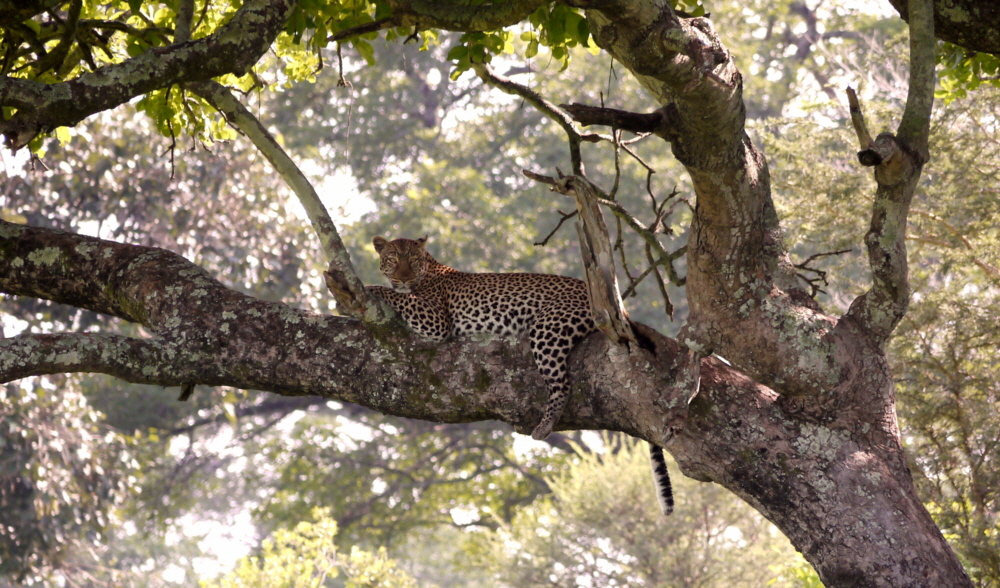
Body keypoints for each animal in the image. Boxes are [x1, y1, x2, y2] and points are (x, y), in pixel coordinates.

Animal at [368, 235, 674, 515]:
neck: (428, 269)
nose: (403, 278)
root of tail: (619, 307)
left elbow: (401, 297)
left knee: (561, 385)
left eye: (412, 260)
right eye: (393, 259)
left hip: (547, 327)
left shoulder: (436, 320)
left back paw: (544, 426)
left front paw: (373, 288)